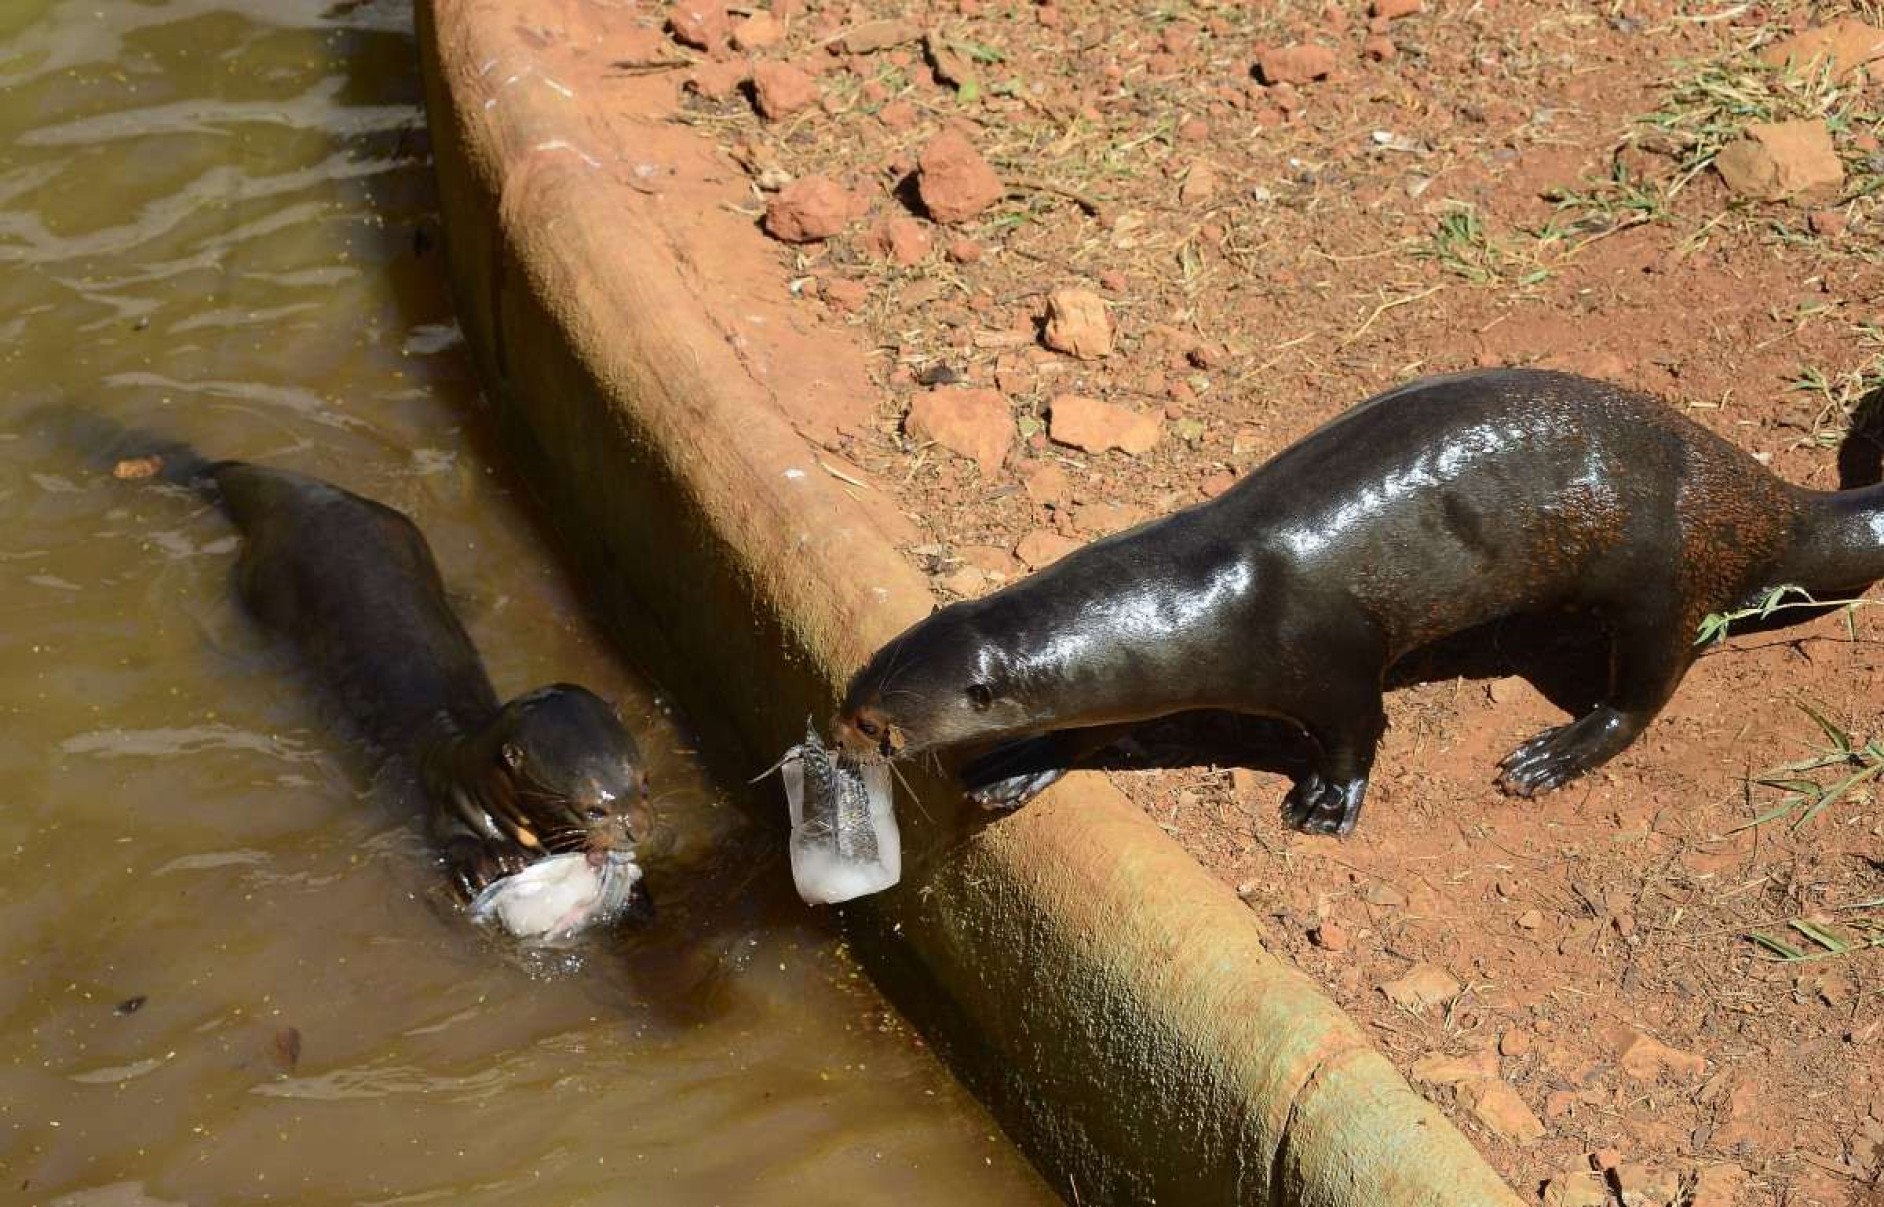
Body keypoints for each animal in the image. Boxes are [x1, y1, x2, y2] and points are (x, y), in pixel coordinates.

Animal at [836, 369, 1884, 836]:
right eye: (854, 691)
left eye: (876, 724)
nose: (834, 734)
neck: (1196, 598)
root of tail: (1756, 494)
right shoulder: (1131, 679)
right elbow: (1089, 724)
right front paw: (1015, 767)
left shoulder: (1325, 658)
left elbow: (1357, 727)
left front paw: (1325, 803)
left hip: (1659, 572)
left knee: (1647, 689)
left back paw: (1554, 754)